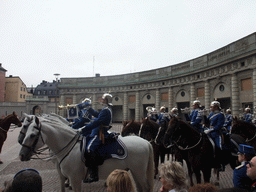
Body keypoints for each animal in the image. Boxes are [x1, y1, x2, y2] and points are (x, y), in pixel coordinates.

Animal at [19, 115, 154, 192]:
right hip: (135, 171)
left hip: (139, 171)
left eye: (32, 135)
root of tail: (146, 142)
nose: (21, 155)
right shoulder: (62, 173)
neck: (67, 146)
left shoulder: (75, 179)